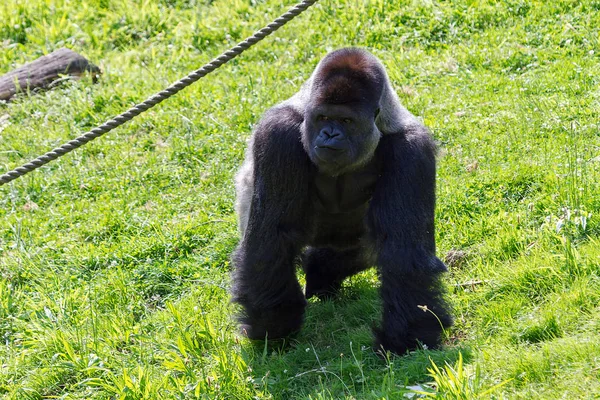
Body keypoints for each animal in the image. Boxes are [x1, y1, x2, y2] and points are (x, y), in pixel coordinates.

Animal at [232, 47, 452, 354]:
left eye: (346, 121)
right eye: (323, 118)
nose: (330, 134)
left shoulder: (412, 149)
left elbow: (404, 250)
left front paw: (406, 338)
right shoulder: (278, 132)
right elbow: (273, 234)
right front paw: (274, 327)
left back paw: (322, 269)